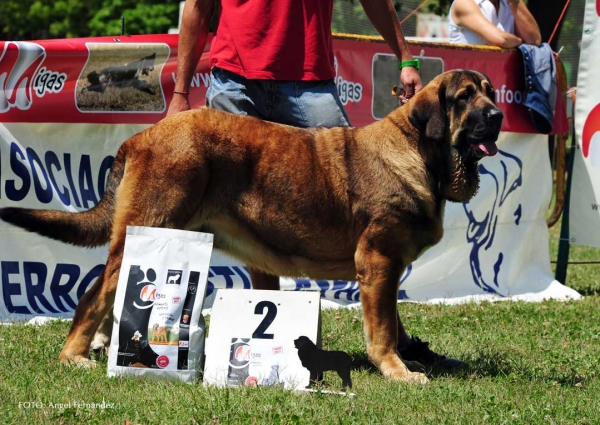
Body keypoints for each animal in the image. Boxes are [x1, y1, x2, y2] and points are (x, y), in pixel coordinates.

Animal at [1, 68, 502, 380]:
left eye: (490, 93)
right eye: (465, 98)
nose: (498, 116)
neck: (420, 151)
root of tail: (141, 136)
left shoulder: (387, 267)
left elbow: (393, 321)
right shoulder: (378, 260)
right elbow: (382, 329)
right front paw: (397, 371)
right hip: (147, 226)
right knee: (92, 296)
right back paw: (75, 356)